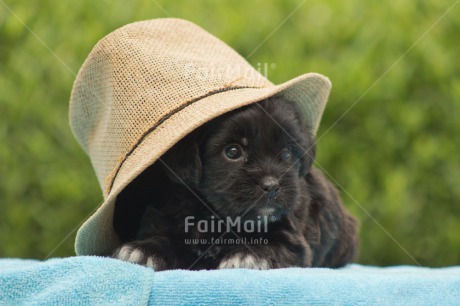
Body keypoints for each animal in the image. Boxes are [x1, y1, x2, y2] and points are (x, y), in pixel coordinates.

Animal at [112, 95, 360, 270]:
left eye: (287, 154)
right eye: (233, 152)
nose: (272, 185)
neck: (219, 218)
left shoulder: (293, 240)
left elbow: (273, 245)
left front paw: (247, 255)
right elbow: (172, 240)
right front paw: (144, 250)